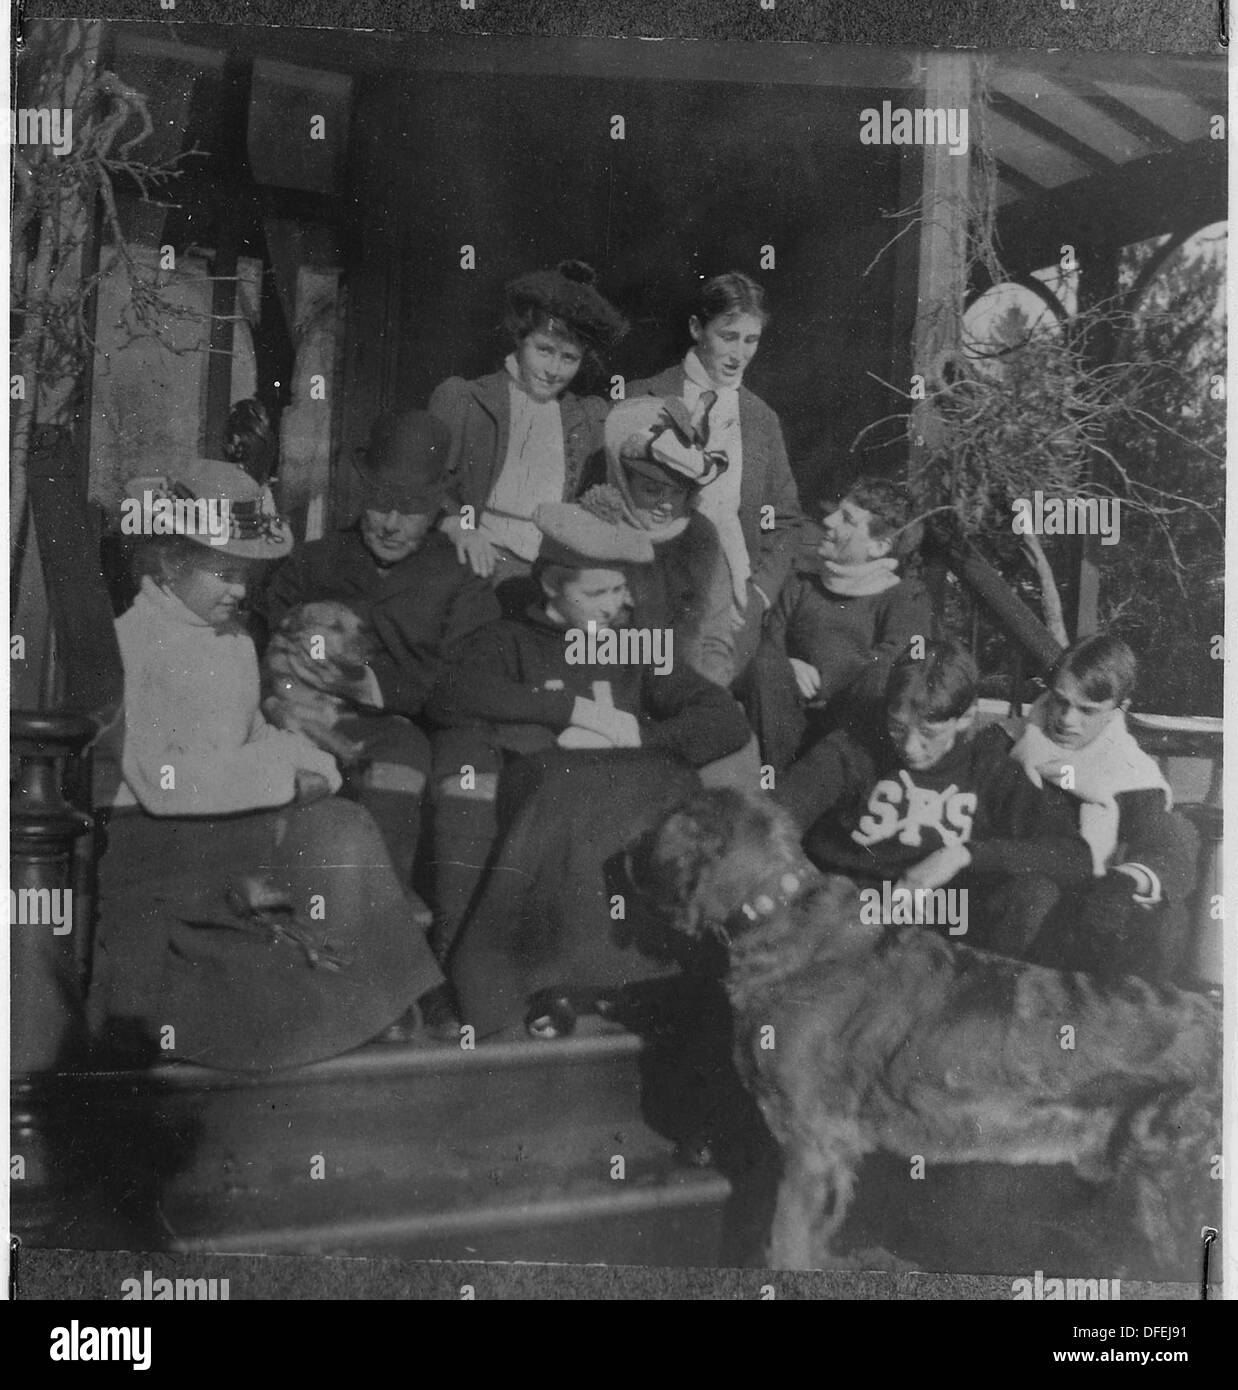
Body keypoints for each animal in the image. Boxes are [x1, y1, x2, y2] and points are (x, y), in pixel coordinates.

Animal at [261, 600, 377, 767]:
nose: (374, 649)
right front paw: (350, 752)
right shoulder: (297, 714)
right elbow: (330, 734)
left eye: (360, 627)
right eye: (335, 626)